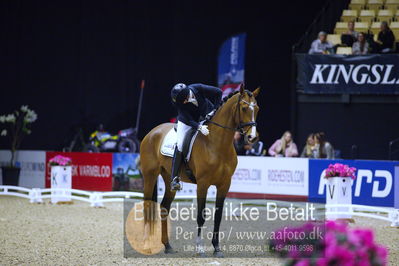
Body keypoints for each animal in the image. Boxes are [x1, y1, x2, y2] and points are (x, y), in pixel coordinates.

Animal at [141, 85, 262, 258]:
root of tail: (152, 132)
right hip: (150, 175)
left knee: (164, 207)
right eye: (244, 108)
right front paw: (200, 248)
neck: (217, 144)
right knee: (146, 206)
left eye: (257, 108)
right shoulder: (203, 184)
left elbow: (218, 216)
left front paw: (217, 248)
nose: (252, 137)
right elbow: (201, 216)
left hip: (168, 178)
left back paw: (167, 246)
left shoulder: (224, 184)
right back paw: (146, 244)